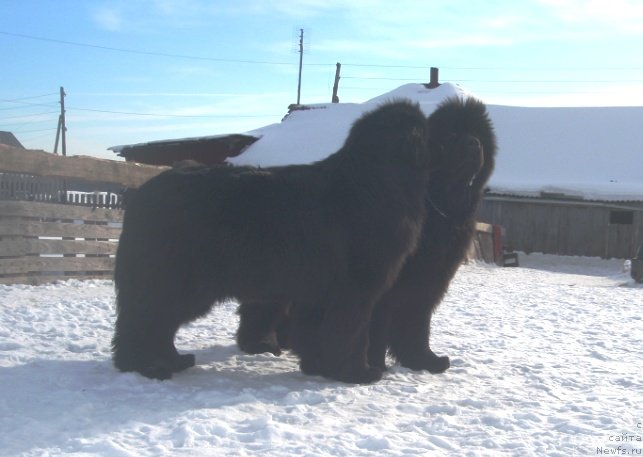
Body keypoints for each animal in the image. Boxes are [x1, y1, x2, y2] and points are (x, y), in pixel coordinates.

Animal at [112, 99, 432, 382]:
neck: (373, 185)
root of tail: (142, 193)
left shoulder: (318, 293)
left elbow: (317, 333)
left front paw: (320, 367)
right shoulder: (352, 291)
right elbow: (351, 333)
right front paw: (356, 373)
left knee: (157, 324)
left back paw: (171, 361)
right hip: (175, 281)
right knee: (145, 320)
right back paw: (148, 366)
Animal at [238, 96, 498, 374]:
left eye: (478, 135)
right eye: (452, 135)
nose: (474, 143)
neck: (439, 205)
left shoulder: (428, 282)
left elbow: (417, 325)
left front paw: (424, 361)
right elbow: (375, 328)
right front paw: (374, 364)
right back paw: (260, 344)